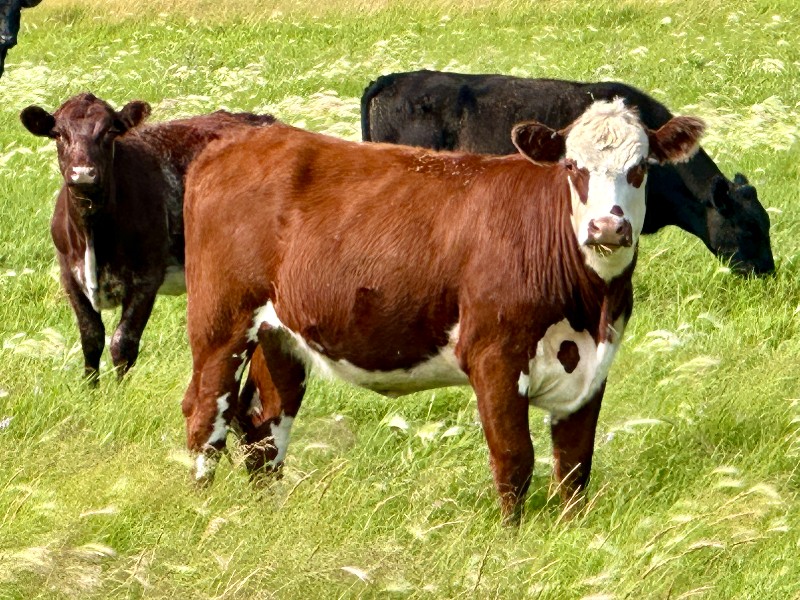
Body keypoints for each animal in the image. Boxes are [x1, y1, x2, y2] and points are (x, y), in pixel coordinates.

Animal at [20, 93, 275, 382]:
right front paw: (90, 388)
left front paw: (119, 390)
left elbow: (123, 343)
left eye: (109, 132)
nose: (83, 172)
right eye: (59, 134)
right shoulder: (70, 276)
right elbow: (91, 339)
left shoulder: (146, 279)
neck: (93, 233)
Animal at [180, 99, 705, 522]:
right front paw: (510, 541)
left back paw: (268, 513)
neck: (588, 304)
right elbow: (514, 459)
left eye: (641, 167)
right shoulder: (494, 356)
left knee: (264, 427)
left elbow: (574, 465)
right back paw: (202, 509)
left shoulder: (593, 366)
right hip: (222, 322)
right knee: (206, 414)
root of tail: (240, 142)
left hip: (279, 335)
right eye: (573, 166)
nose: (606, 227)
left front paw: (570, 532)